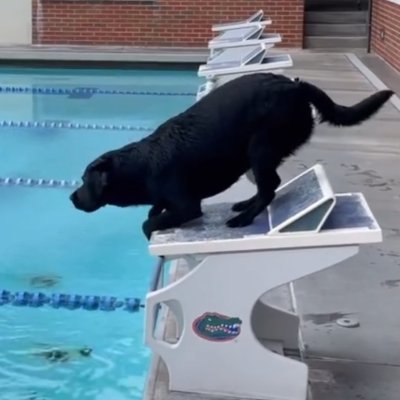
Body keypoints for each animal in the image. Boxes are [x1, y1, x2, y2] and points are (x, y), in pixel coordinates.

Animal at [69, 72, 394, 239]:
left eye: (84, 180)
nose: (71, 197)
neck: (144, 163)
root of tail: (296, 85)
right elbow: (154, 210)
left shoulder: (187, 205)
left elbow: (149, 222)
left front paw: (152, 225)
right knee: (269, 186)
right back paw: (244, 205)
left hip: (261, 145)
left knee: (269, 187)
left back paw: (245, 218)